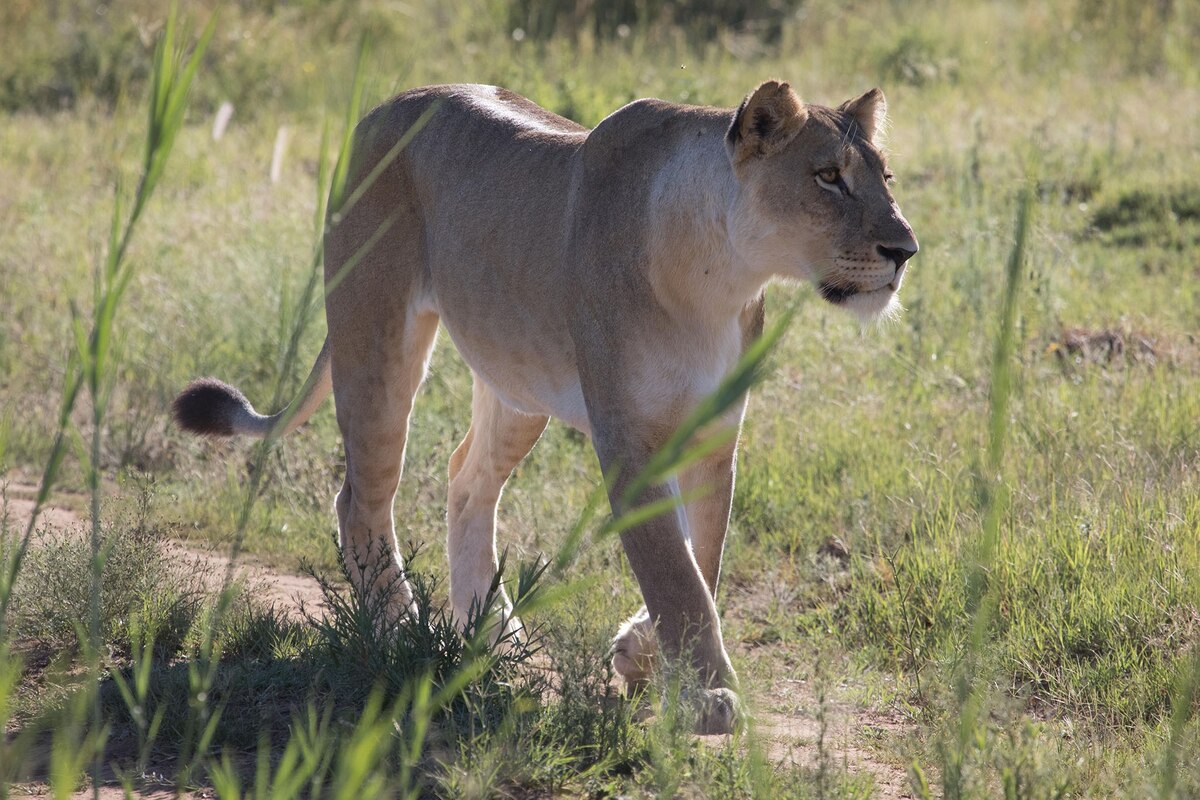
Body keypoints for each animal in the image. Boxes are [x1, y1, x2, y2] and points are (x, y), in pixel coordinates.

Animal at [173, 80, 918, 735]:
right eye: (828, 176)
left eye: (886, 177)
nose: (905, 250)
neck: (723, 274)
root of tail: (383, 107)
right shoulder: (627, 436)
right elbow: (674, 573)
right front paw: (707, 695)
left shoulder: (712, 434)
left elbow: (702, 556)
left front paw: (642, 656)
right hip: (376, 337)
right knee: (361, 499)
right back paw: (401, 633)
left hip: (516, 381)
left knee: (466, 481)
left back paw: (494, 636)